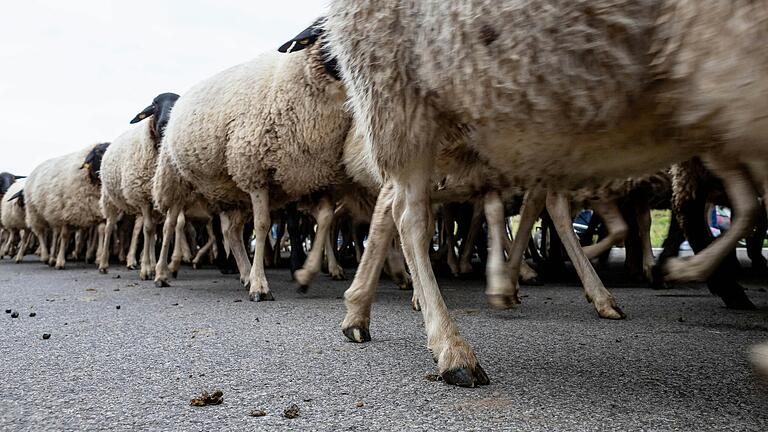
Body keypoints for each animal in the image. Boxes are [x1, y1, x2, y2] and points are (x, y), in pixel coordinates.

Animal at [97, 93, 178, 278]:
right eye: (154, 105)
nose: (164, 123)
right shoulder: (143, 197)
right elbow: (147, 230)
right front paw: (146, 269)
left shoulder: (166, 196)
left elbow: (161, 230)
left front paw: (156, 268)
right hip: (110, 199)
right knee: (109, 226)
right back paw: (103, 264)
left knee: (151, 231)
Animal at [149, 17, 352, 300]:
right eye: (324, 33)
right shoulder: (255, 172)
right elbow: (263, 225)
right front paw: (260, 286)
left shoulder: (311, 177)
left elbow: (324, 220)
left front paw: (305, 276)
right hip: (176, 180)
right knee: (170, 227)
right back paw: (161, 274)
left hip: (232, 191)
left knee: (231, 232)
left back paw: (244, 273)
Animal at [328, 0, 768, 384]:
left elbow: (749, 208)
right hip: (401, 97)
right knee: (410, 215)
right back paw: (451, 347)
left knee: (394, 202)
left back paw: (360, 311)